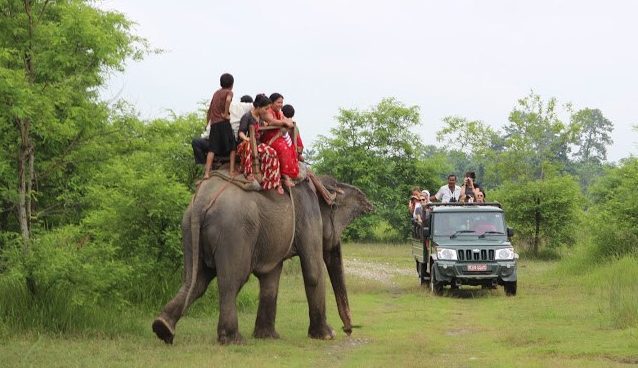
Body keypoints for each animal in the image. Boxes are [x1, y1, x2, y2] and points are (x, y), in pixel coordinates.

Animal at [153, 174, 376, 344]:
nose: (348, 330)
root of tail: (201, 201)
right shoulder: (308, 215)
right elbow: (313, 272)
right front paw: (327, 335)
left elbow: (270, 278)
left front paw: (267, 337)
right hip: (234, 231)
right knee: (231, 281)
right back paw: (233, 339)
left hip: (188, 227)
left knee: (195, 280)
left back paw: (162, 329)